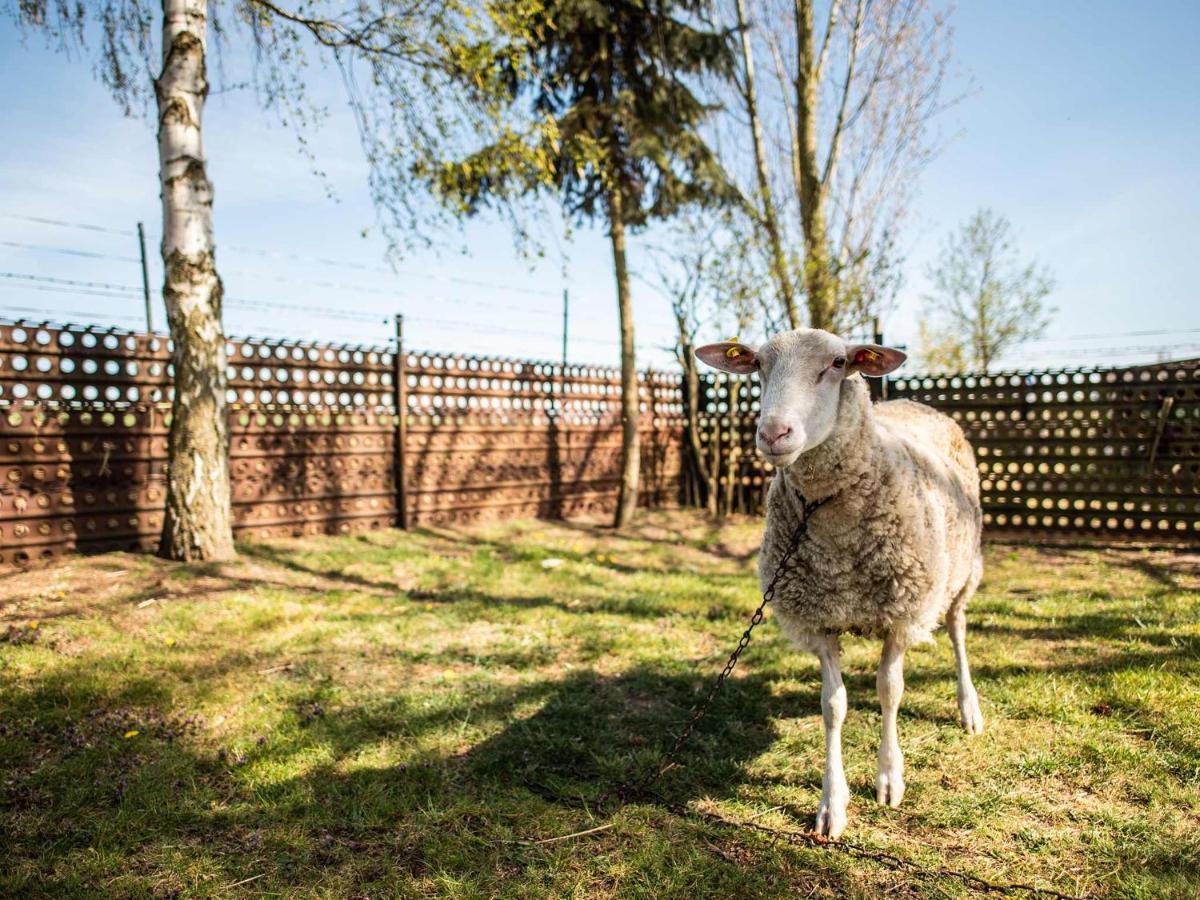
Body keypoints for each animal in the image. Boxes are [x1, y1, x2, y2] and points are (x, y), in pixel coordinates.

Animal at [696, 328, 984, 844]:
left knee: (957, 631)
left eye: (836, 363)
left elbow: (891, 691)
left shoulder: (902, 612)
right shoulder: (820, 619)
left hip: (960, 572)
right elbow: (833, 706)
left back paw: (968, 707)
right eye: (759, 366)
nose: (773, 434)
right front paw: (832, 804)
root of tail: (912, 400)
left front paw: (889, 777)